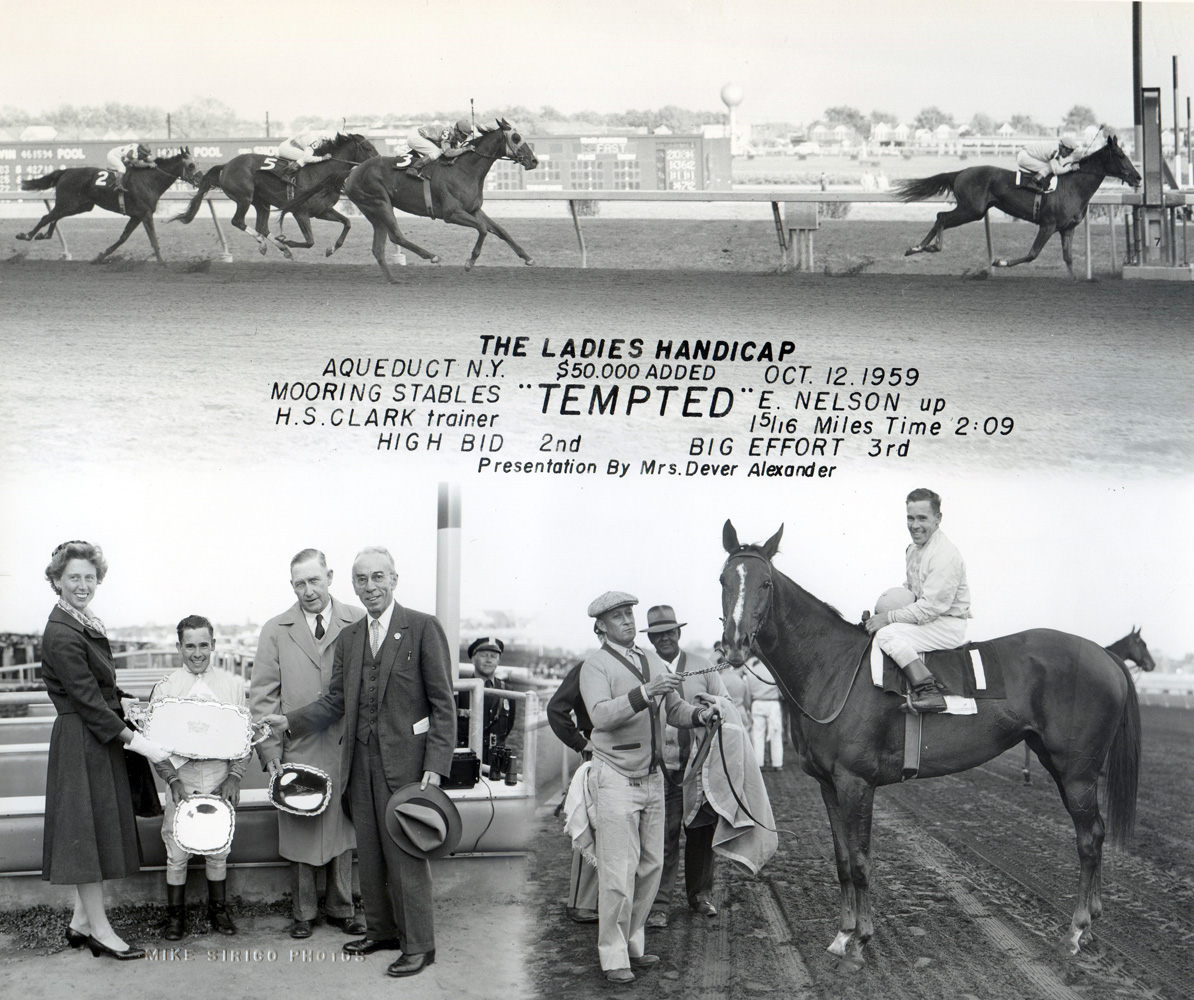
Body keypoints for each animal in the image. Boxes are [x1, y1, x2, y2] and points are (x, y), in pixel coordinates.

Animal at [15, 148, 200, 263]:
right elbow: (153, 240)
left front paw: (100, 257)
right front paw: (162, 263)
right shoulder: (146, 214)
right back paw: (27, 235)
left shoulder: (137, 215)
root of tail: (66, 171)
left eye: (197, 164)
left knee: (54, 216)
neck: (149, 180)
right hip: (69, 202)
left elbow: (123, 238)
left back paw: (44, 235)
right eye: (191, 165)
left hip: (79, 206)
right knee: (47, 216)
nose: (201, 178)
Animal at [170, 133, 377, 258]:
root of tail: (226, 165)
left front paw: (331, 249)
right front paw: (288, 241)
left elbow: (347, 223)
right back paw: (267, 244)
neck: (321, 172)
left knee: (262, 226)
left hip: (262, 202)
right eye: (368, 148)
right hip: (244, 197)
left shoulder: (322, 211)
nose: (378, 160)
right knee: (238, 221)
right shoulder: (300, 212)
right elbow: (310, 241)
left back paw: (280, 247)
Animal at [716, 525, 1136, 968]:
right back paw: (1089, 928)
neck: (833, 668)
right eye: (723, 580)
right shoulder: (828, 785)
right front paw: (842, 935)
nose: (735, 645)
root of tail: (1103, 654)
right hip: (1058, 763)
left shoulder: (856, 783)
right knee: (1095, 833)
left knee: (1089, 839)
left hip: (1077, 771)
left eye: (765, 583)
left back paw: (1075, 932)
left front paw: (860, 942)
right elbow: (843, 861)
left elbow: (861, 861)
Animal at [897, 131, 1136, 278]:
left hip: (973, 210)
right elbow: (1032, 254)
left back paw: (918, 247)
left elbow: (1068, 259)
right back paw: (924, 247)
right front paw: (999, 262)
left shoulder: (1067, 229)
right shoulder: (1048, 225)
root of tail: (961, 172)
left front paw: (1075, 281)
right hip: (972, 210)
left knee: (941, 218)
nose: (1138, 177)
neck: (1073, 186)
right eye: (1121, 155)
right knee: (941, 217)